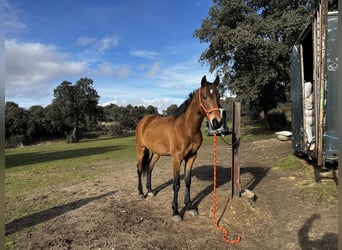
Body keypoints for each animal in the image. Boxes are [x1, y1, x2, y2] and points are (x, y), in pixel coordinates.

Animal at [135, 75, 223, 222]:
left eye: (219, 95)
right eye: (204, 96)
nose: (217, 122)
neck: (186, 128)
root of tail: (144, 121)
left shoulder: (192, 156)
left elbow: (187, 181)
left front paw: (189, 206)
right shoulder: (176, 158)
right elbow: (176, 184)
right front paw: (175, 212)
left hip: (156, 153)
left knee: (150, 167)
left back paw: (150, 191)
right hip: (141, 149)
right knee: (140, 169)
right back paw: (141, 193)